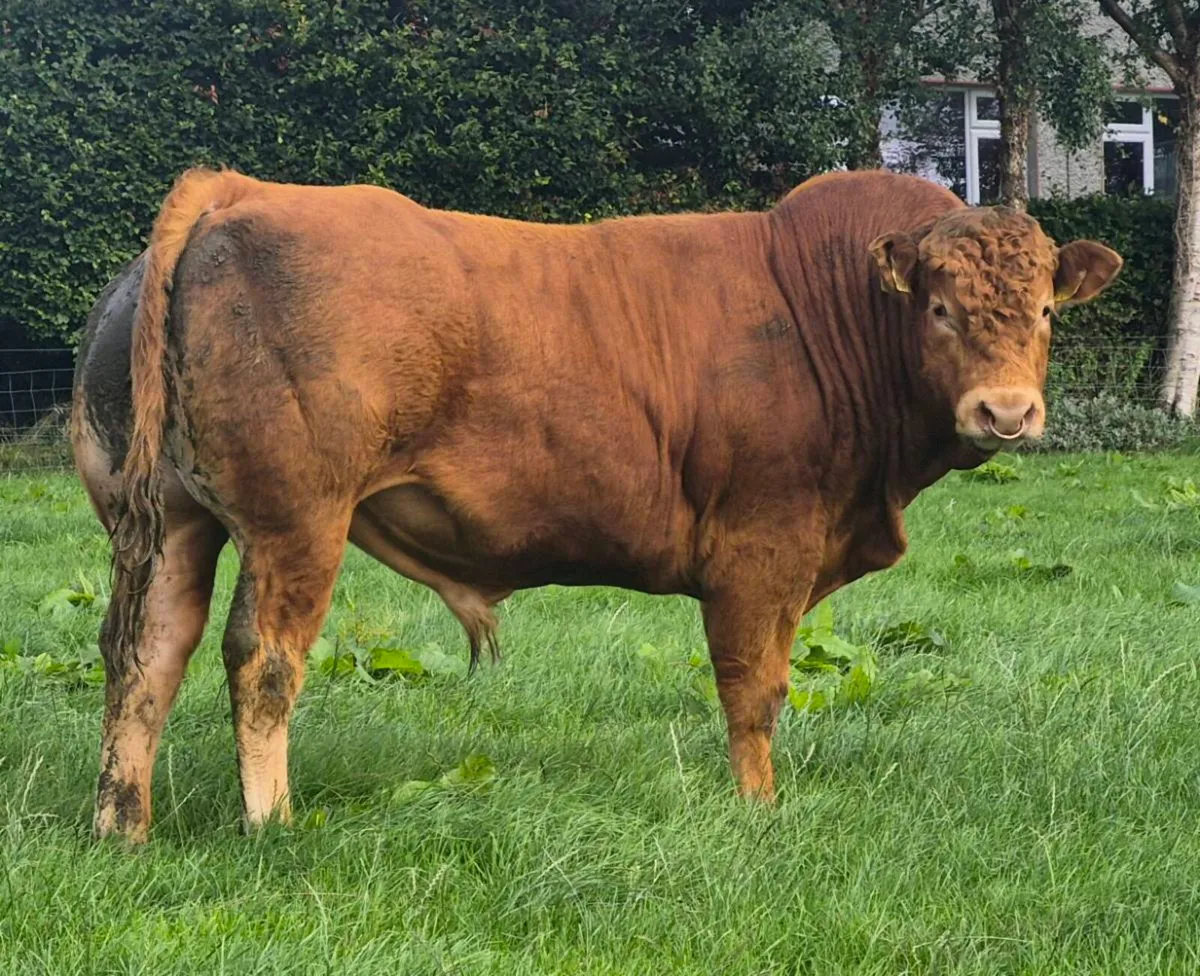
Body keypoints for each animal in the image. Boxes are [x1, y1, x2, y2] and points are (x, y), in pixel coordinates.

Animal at [71, 168, 1121, 842]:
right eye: (940, 309)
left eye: (1045, 311)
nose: (1007, 413)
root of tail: (238, 189)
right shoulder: (762, 549)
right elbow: (755, 690)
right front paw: (759, 809)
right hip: (297, 524)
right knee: (263, 662)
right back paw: (273, 822)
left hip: (168, 523)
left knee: (144, 658)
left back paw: (124, 826)